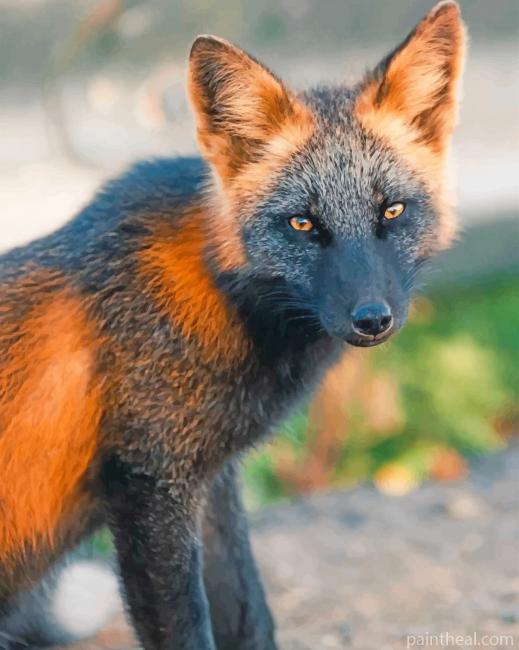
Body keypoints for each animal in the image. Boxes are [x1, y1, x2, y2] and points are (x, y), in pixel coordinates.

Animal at [0, 2, 466, 648]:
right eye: (302, 223)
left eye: (392, 211)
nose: (372, 319)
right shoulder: (150, 487)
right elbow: (187, 630)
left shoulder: (211, 481)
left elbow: (249, 612)